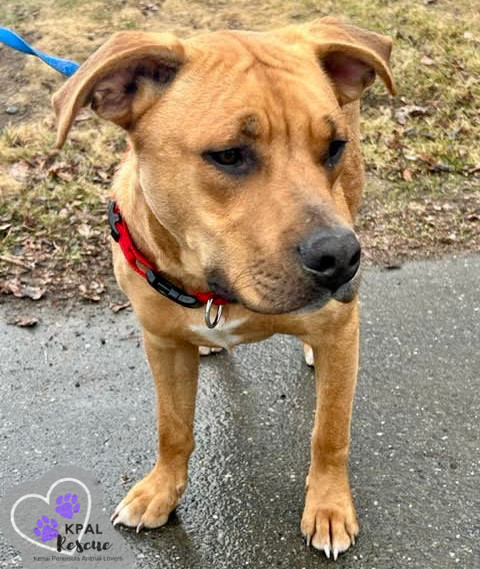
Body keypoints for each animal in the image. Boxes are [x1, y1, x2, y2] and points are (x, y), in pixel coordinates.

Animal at [51, 17, 394, 560]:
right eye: (229, 155)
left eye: (333, 148)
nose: (341, 258)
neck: (217, 290)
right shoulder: (163, 344)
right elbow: (172, 429)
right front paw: (161, 490)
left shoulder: (339, 333)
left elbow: (329, 432)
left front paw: (329, 506)